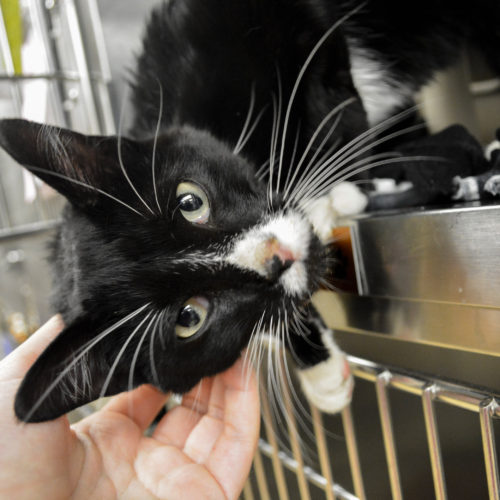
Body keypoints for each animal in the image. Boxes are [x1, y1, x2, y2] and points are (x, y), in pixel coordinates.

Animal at [0, 0, 500, 422]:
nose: (278, 256)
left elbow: (333, 100)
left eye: (190, 201)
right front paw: (320, 367)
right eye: (189, 318)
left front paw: (340, 191)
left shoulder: (262, 21)